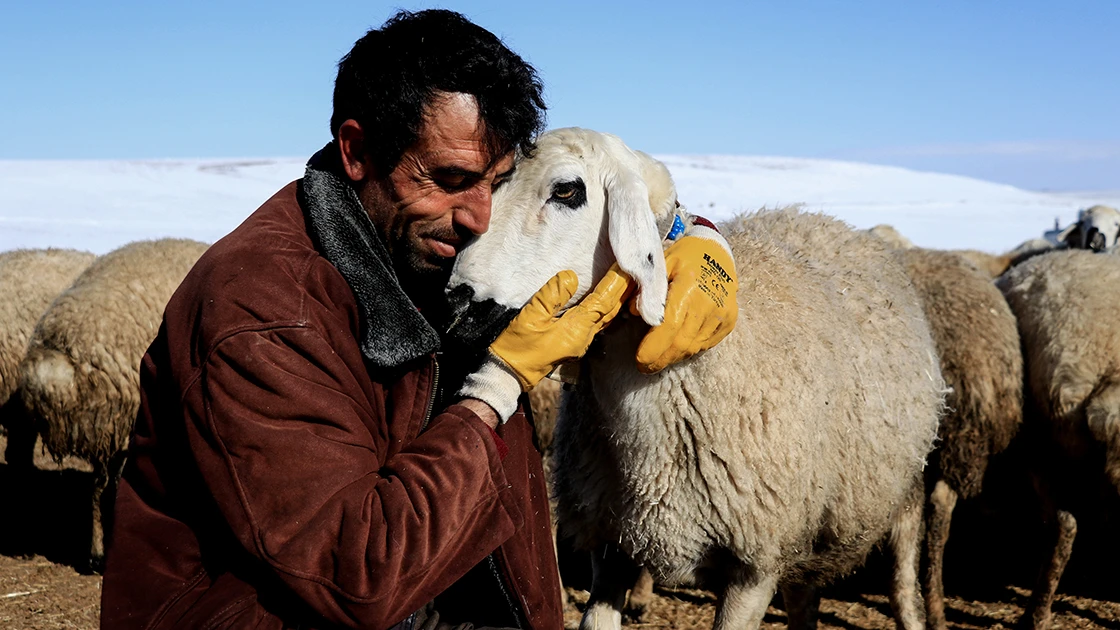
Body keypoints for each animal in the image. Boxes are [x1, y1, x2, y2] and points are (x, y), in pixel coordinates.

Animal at [20, 236, 210, 569]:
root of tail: (56, 363)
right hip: (125, 422)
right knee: (114, 489)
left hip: (109, 427)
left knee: (99, 489)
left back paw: (97, 553)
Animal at [445, 127, 945, 627]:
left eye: (567, 190)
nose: (457, 301)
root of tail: (826, 220)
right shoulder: (610, 547)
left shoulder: (754, 565)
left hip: (900, 489)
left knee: (903, 567)